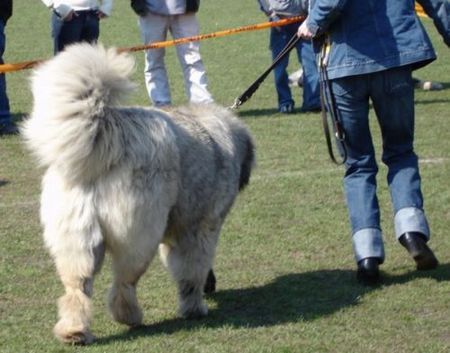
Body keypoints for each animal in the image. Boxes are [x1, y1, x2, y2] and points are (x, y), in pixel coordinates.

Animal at [22, 42, 253, 342]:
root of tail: (110, 133)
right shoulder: (201, 230)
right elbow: (192, 271)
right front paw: (195, 305)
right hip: (138, 235)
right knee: (124, 282)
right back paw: (130, 316)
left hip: (77, 239)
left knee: (77, 287)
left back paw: (74, 331)